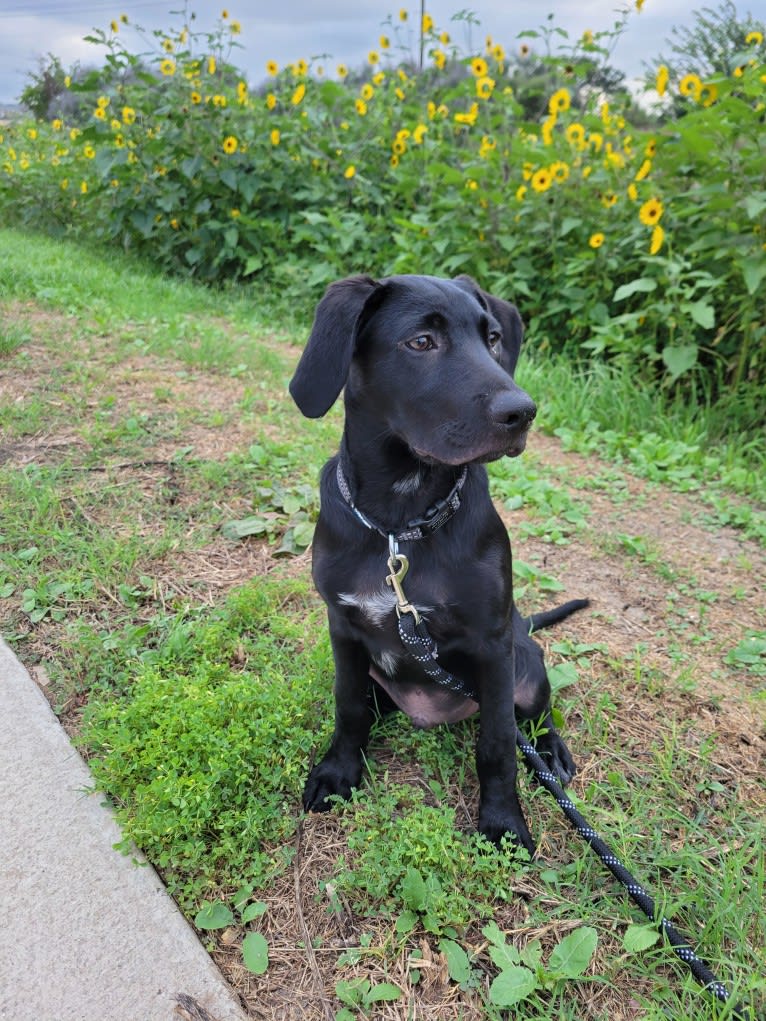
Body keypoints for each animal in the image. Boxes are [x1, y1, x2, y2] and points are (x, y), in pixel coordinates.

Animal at [290, 271, 588, 853]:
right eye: (421, 342)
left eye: (493, 338)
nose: (522, 412)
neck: (398, 527)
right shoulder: (343, 628)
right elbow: (348, 708)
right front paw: (339, 772)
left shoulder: (493, 648)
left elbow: (497, 745)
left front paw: (503, 822)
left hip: (525, 664)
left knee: (536, 717)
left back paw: (552, 751)